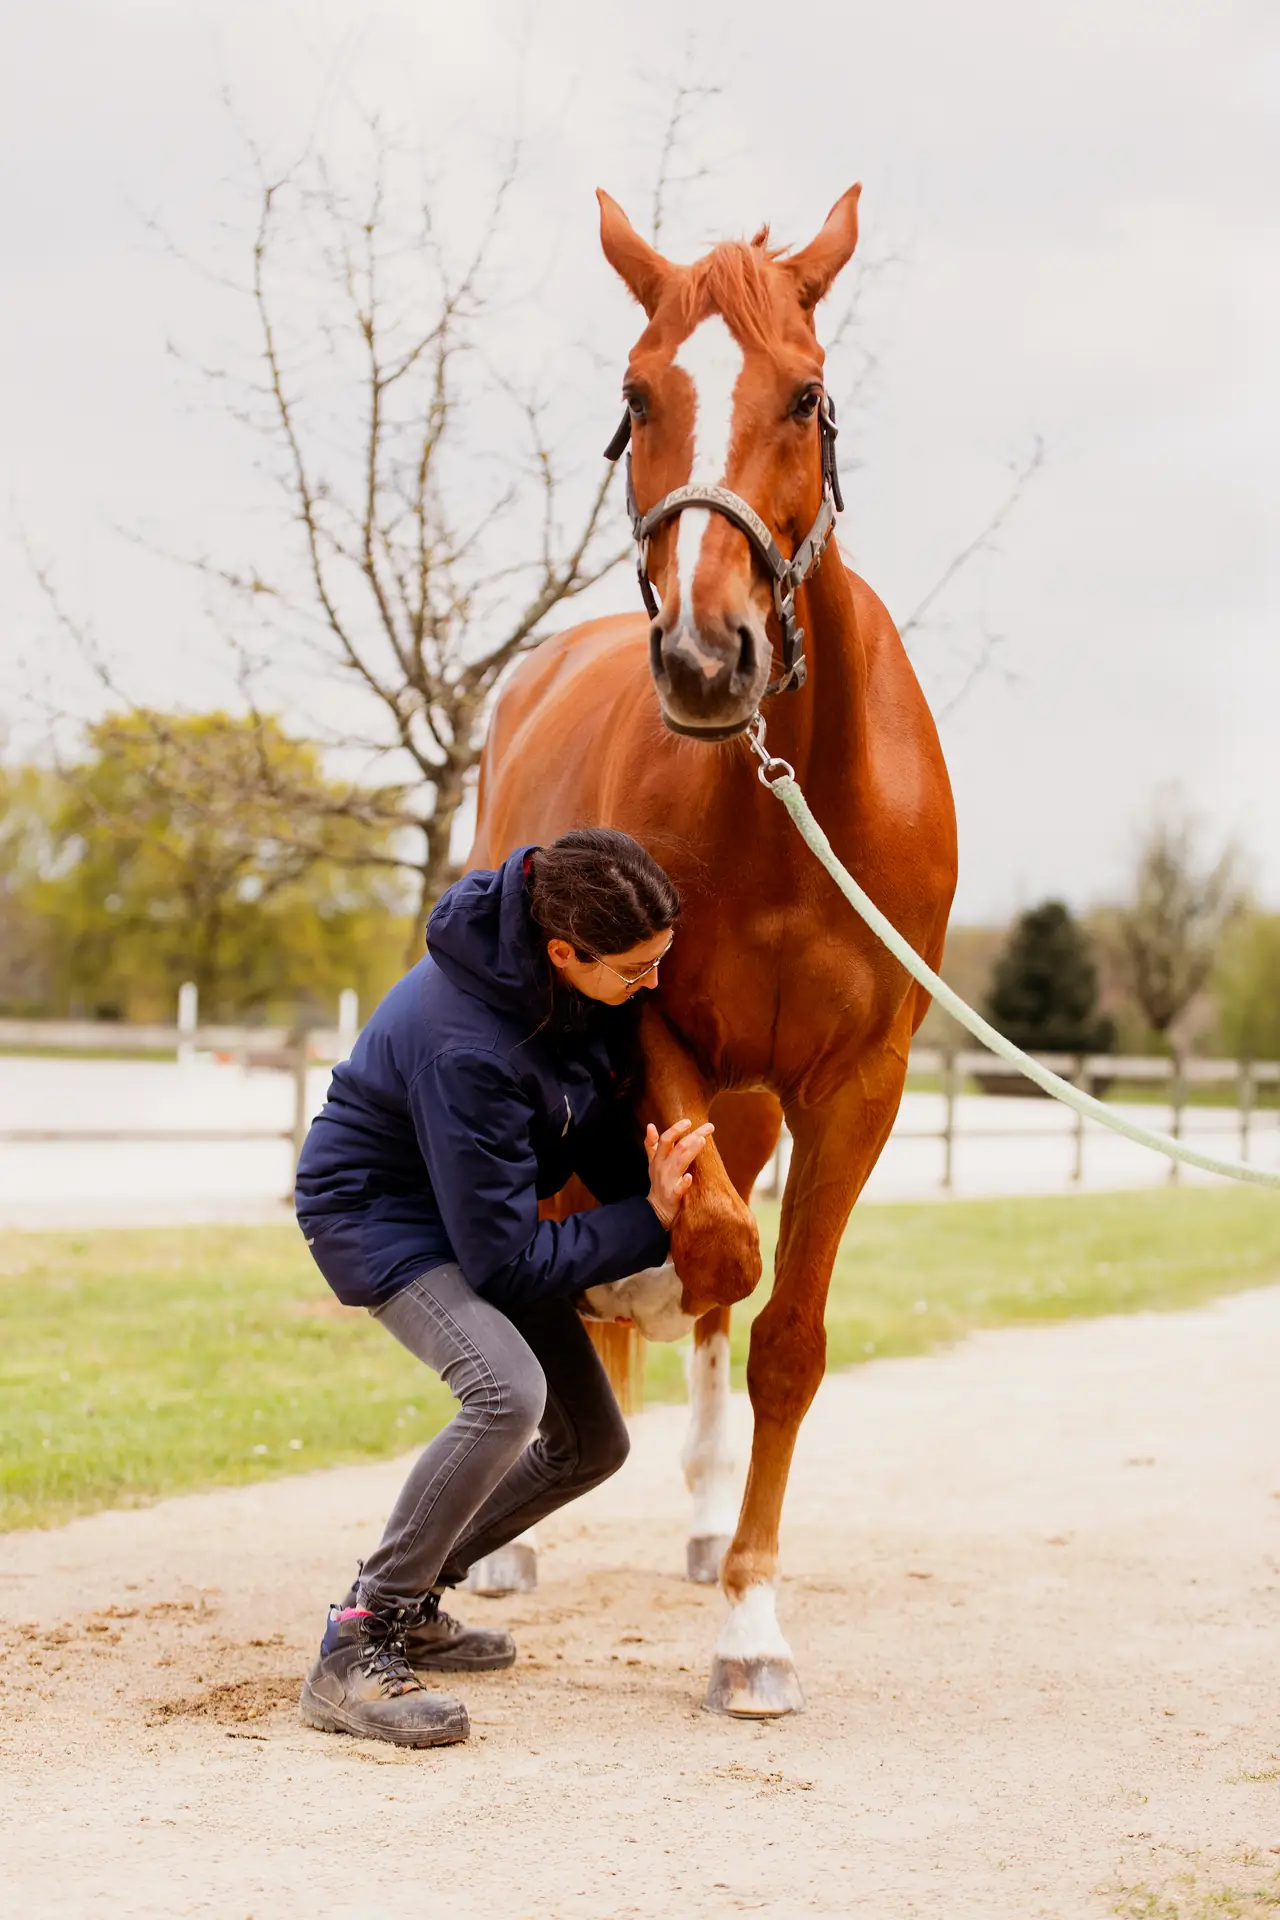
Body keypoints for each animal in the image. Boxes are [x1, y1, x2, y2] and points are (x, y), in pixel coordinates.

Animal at [467, 184, 958, 1717]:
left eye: (805, 395)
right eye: (638, 398)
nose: (701, 657)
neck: (783, 798)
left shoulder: (857, 1083)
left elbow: (782, 1335)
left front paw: (747, 1617)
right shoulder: (655, 1036)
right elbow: (716, 1252)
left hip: (755, 1101)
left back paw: (693, 1520)